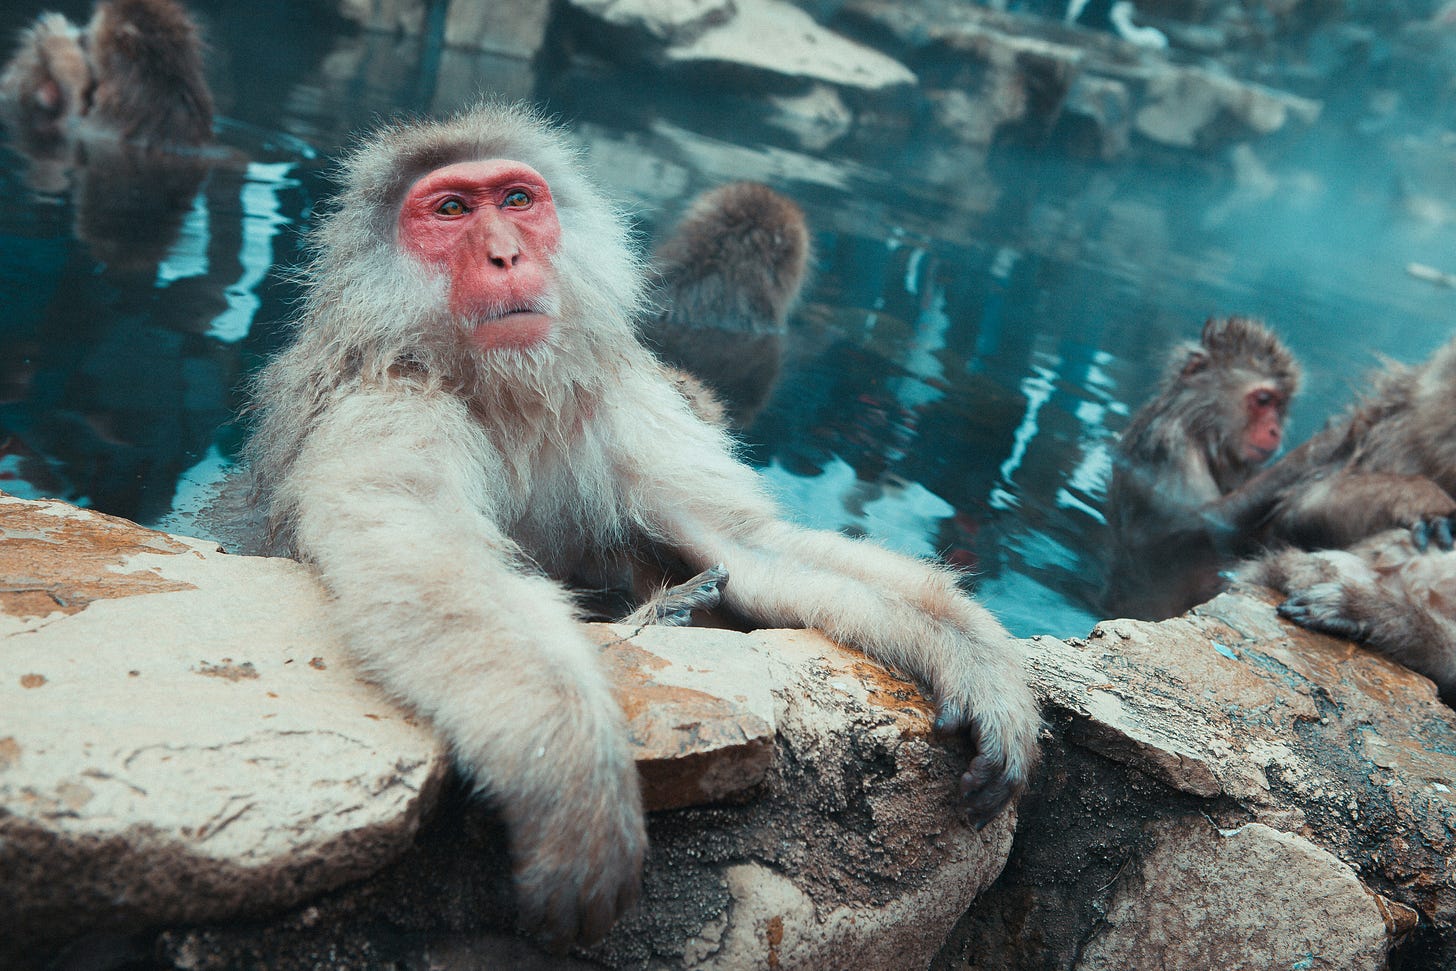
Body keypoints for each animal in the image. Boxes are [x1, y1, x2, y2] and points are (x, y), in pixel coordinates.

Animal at [1106, 318, 1304, 623]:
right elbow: (1193, 524)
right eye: (1263, 400)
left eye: (1280, 406)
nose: (1275, 430)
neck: (1201, 426)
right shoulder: (1172, 446)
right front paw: (1317, 452)